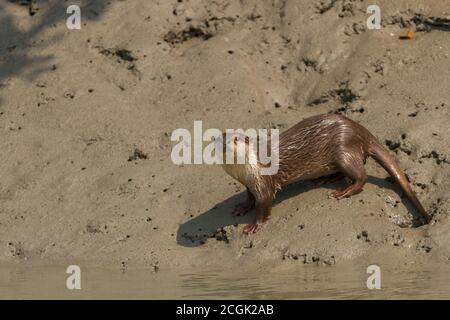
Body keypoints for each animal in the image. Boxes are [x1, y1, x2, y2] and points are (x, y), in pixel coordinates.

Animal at [218, 114, 432, 234]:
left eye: (235, 139)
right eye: (220, 138)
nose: (224, 143)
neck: (246, 171)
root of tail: (359, 130)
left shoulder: (263, 182)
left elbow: (263, 205)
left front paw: (254, 225)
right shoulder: (250, 183)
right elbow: (249, 197)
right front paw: (242, 207)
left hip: (344, 152)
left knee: (361, 175)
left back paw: (344, 192)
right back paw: (326, 179)